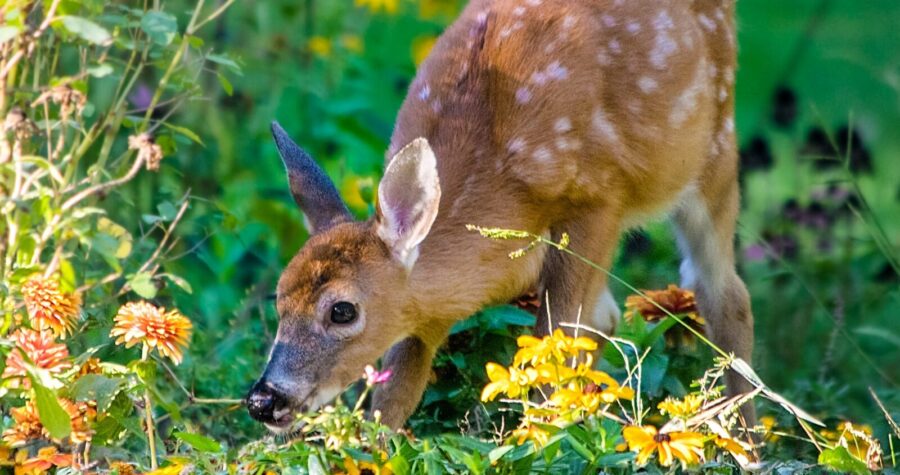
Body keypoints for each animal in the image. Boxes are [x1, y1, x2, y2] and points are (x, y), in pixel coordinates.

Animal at [247, 0, 756, 432]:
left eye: (342, 310)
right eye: (279, 298)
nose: (263, 399)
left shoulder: (597, 200)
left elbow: (555, 342)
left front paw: (538, 440)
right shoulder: (426, 309)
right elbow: (397, 392)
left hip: (714, 148)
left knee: (724, 293)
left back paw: (746, 442)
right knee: (614, 316)